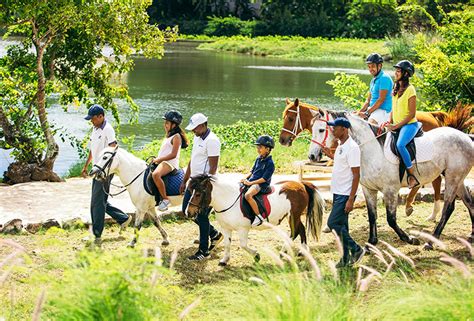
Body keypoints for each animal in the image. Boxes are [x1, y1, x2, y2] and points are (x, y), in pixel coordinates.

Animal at [185, 175, 326, 264]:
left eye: (198, 194)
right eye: (191, 192)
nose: (188, 212)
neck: (228, 200)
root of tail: (301, 184)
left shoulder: (243, 229)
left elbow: (243, 245)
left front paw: (257, 256)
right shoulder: (226, 228)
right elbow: (227, 244)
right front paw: (224, 260)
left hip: (293, 215)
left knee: (294, 232)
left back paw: (283, 252)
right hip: (293, 216)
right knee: (301, 229)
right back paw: (303, 251)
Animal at [312, 112, 474, 248]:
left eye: (321, 130)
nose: (312, 156)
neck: (371, 150)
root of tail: (466, 137)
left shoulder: (390, 190)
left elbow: (391, 219)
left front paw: (409, 239)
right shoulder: (368, 189)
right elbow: (372, 216)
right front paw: (371, 242)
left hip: (453, 178)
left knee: (449, 207)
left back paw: (431, 241)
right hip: (457, 179)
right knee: (469, 202)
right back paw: (471, 235)